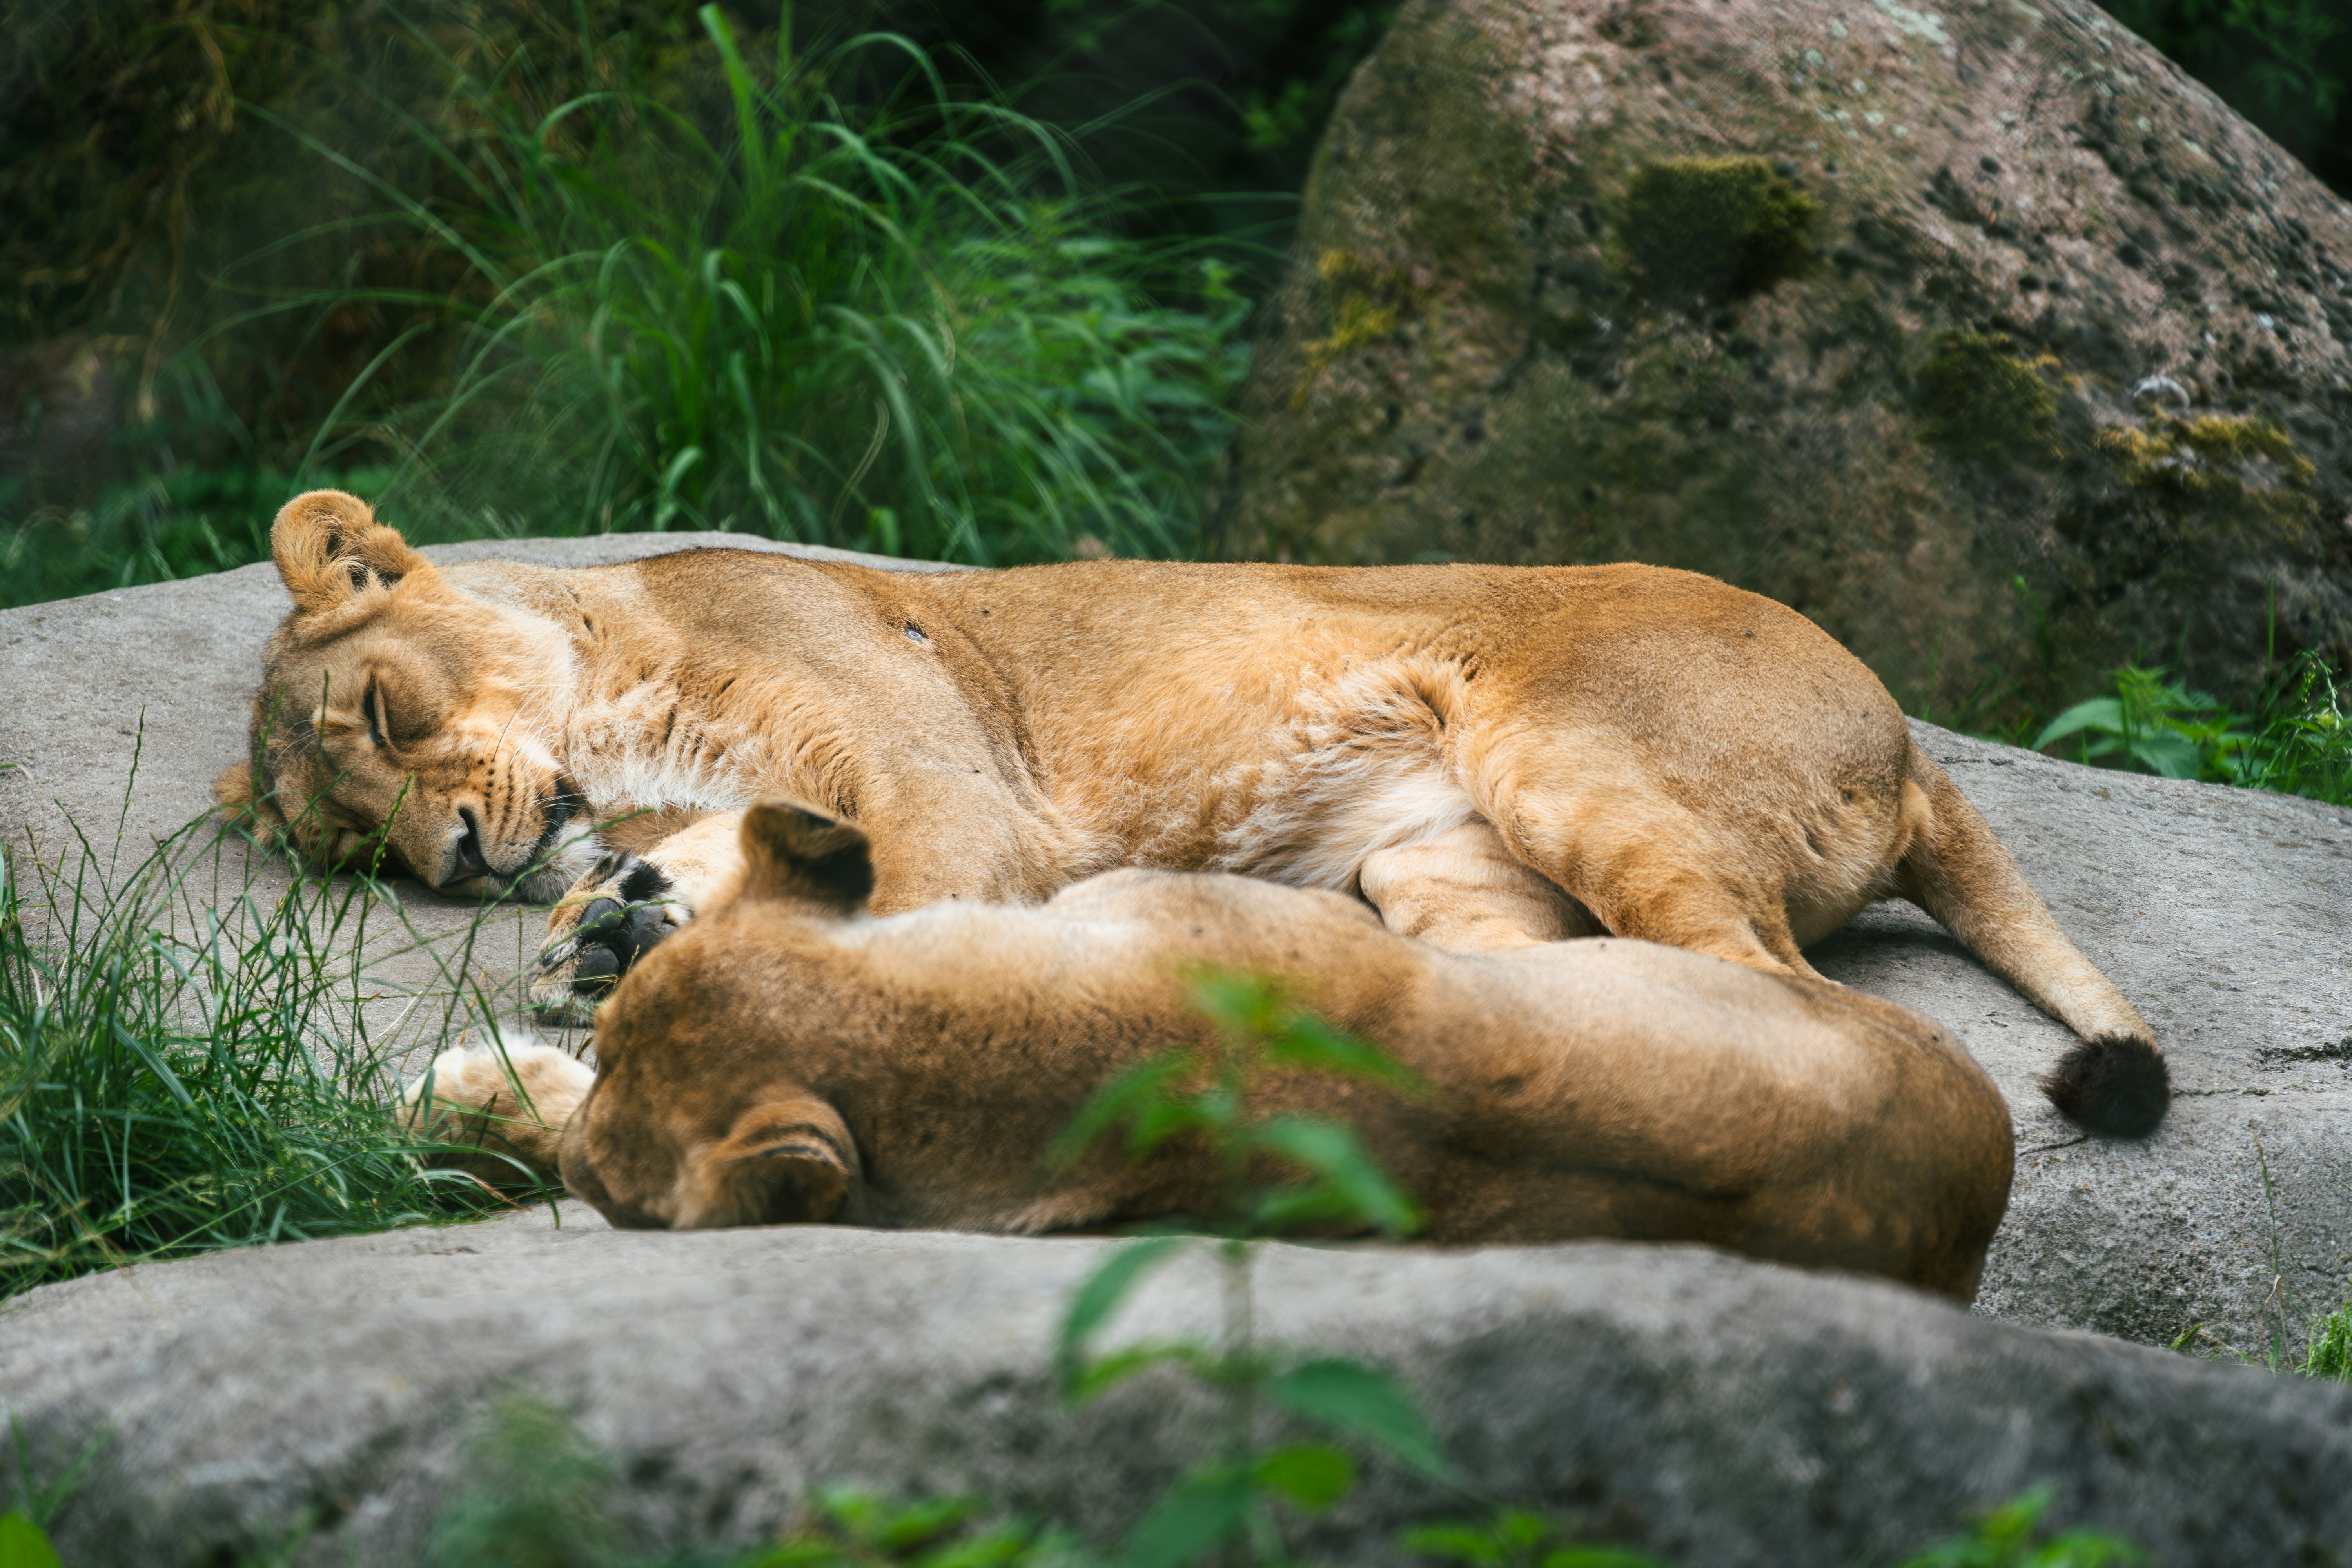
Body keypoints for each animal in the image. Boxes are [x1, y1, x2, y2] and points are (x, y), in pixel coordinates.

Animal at [225, 488, 2166, 1135]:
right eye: (351, 844)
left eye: (385, 715)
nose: (452, 857)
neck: (628, 691)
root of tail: (1903, 726)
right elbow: (720, 882)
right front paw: (609, 928)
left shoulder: (957, 801)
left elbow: (876, 947)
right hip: (1441, 867)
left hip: (1579, 761)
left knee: (1790, 998)